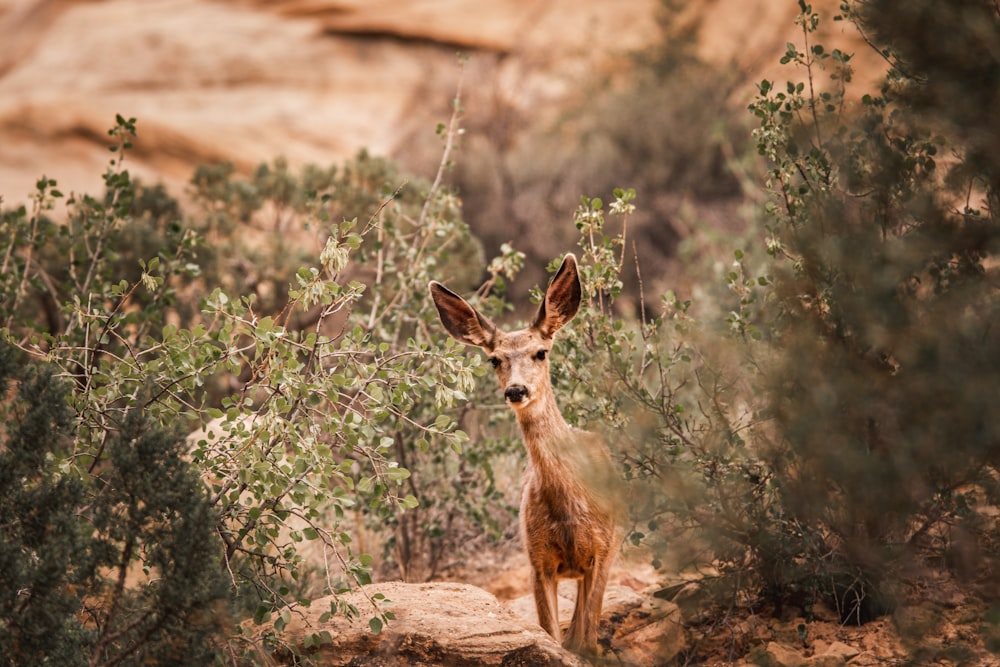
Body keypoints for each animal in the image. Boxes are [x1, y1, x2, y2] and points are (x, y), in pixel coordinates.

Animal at [430, 253, 616, 656]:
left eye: (540, 352)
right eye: (494, 359)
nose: (517, 390)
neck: (569, 506)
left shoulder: (602, 549)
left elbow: (586, 642)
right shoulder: (537, 559)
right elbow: (553, 635)